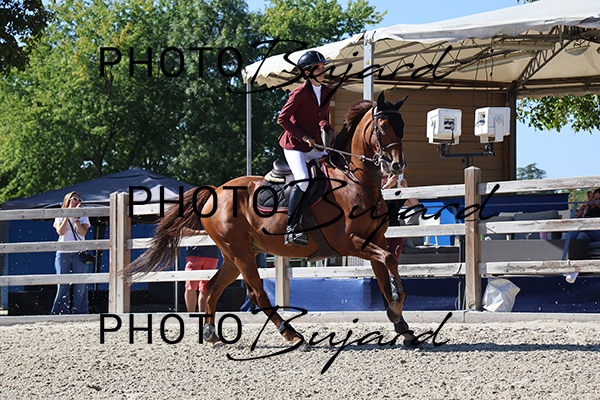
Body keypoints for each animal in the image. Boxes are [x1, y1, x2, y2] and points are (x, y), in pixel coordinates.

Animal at [124, 91, 417, 348]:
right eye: (383, 126)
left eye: (402, 126)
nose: (398, 166)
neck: (355, 181)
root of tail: (215, 192)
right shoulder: (349, 242)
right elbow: (389, 261)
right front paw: (398, 304)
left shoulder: (375, 239)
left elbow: (385, 274)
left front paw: (402, 325)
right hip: (240, 253)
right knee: (257, 294)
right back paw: (292, 335)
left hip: (235, 254)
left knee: (212, 288)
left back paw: (211, 335)